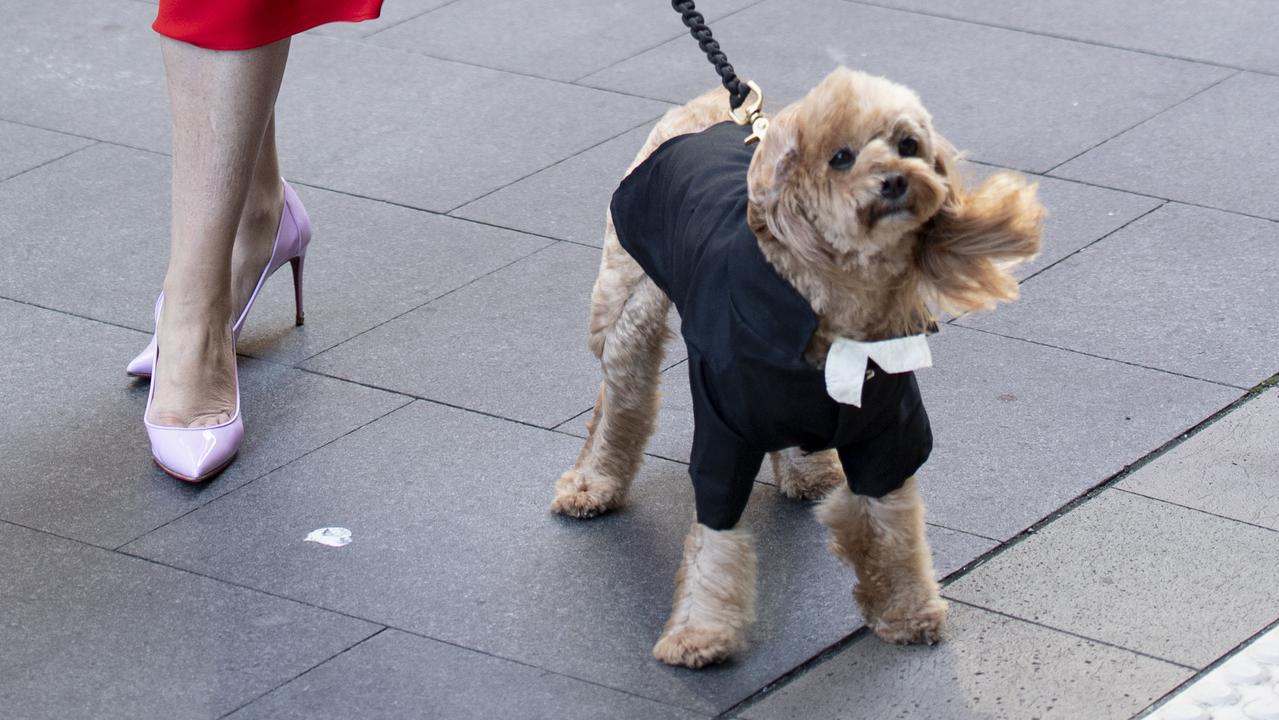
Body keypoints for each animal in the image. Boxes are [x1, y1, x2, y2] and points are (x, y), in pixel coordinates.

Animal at [547, 67, 1038, 670]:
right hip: (627, 305)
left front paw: (907, 611)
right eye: (841, 157)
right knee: (618, 400)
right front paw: (700, 634)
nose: (897, 181)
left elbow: (893, 527)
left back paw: (806, 472)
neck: (828, 298)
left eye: (907, 144)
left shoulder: (886, 431)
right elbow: (714, 543)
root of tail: (711, 107)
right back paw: (593, 481)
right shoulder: (723, 433)